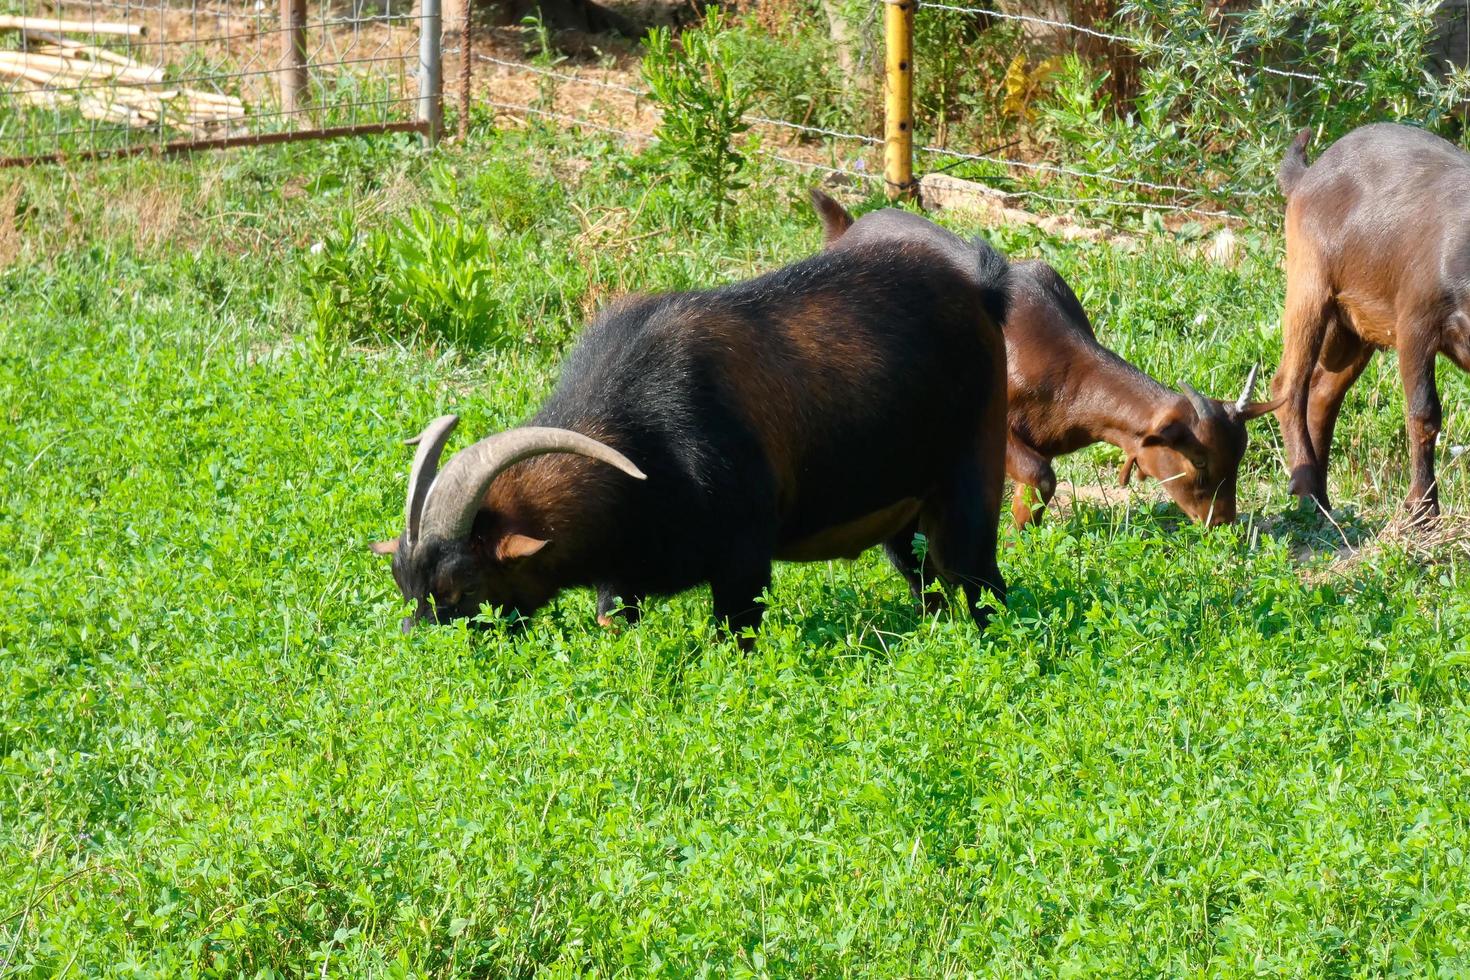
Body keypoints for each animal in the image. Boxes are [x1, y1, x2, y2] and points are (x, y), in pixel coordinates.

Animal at [373, 239, 1011, 643]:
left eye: (459, 587)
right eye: (403, 582)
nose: (420, 654)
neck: (645, 438)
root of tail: (982, 289)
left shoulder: (744, 556)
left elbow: (736, 633)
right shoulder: (619, 578)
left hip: (972, 477)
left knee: (979, 579)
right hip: (901, 514)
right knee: (925, 580)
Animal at [811, 188, 1281, 531]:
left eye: (1238, 459)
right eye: (1198, 461)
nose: (1221, 522)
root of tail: (844, 232)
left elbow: (1033, 491)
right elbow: (1040, 477)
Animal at [1270, 121, 1464, 517]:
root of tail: (1306, 176)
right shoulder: (1416, 324)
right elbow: (1424, 413)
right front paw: (1422, 509)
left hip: (1353, 328)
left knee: (1323, 395)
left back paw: (1320, 501)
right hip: (1309, 286)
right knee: (1288, 385)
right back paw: (1306, 488)